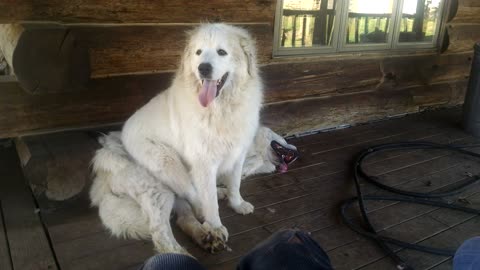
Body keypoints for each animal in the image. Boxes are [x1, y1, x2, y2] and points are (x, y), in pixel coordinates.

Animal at [89, 23, 296, 255]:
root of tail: (108, 152)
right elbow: (210, 201)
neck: (221, 109)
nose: (203, 68)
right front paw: (215, 223)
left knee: (185, 214)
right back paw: (191, 245)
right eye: (198, 52)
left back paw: (206, 232)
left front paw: (237, 204)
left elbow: (235, 184)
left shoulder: (237, 154)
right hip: (165, 172)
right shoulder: (204, 164)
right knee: (164, 228)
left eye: (221, 52)